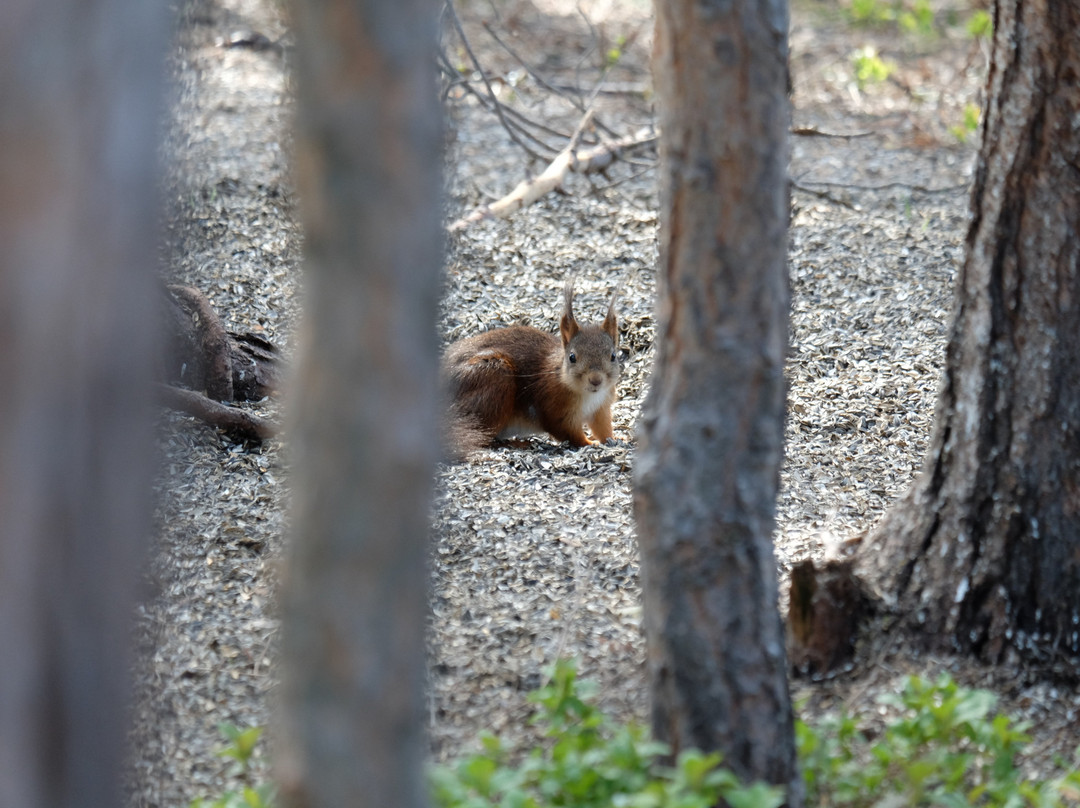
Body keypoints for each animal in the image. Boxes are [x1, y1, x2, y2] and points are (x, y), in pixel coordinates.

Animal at [442, 280, 622, 458]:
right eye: (572, 357)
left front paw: (614, 439)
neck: (589, 395)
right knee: (484, 437)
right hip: (493, 379)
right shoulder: (554, 407)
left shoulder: (601, 407)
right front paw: (590, 443)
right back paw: (516, 443)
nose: (596, 380)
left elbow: (602, 427)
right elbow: (569, 433)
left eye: (613, 356)